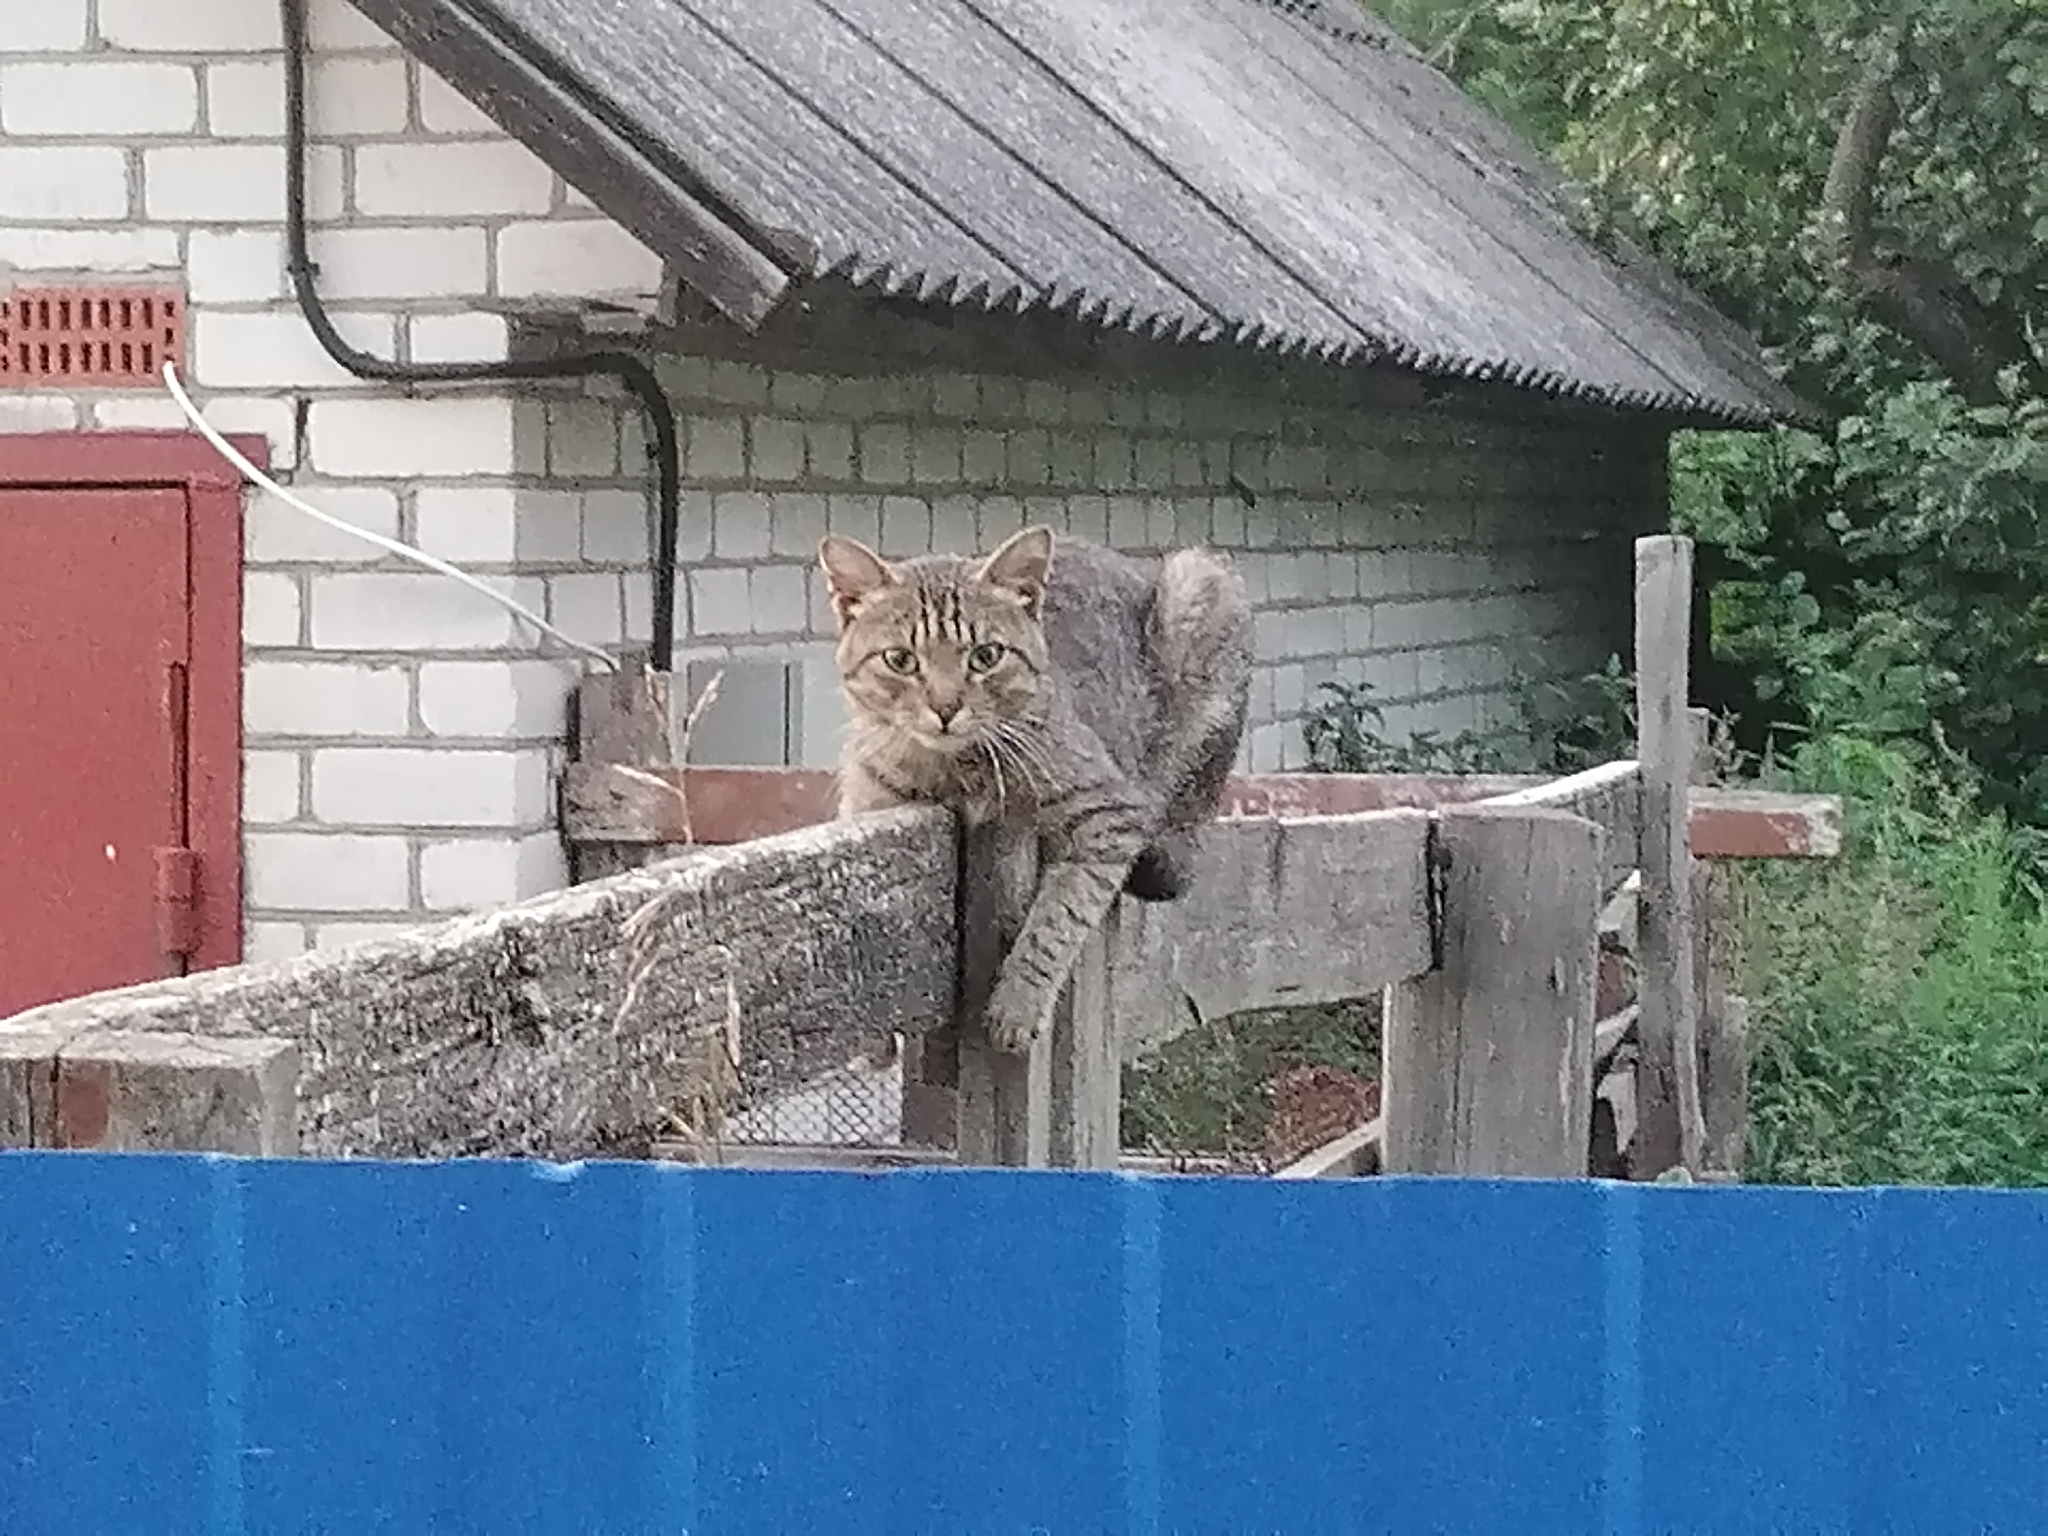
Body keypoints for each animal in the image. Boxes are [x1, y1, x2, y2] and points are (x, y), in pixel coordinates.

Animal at [815, 528, 1245, 1056]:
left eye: (986, 656)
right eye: (900, 660)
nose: (945, 707)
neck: (954, 771)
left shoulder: (1111, 813)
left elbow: (1057, 920)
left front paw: (1017, 1004)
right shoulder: (869, 813)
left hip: (1200, 588)